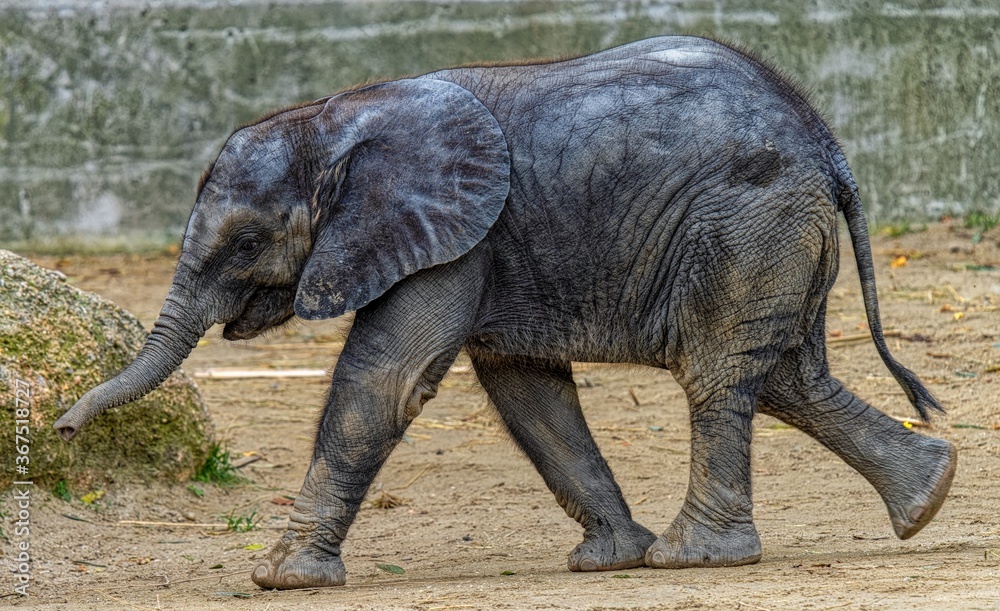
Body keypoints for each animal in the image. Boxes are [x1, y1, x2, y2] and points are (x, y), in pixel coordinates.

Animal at [55, 35, 956, 590]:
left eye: (246, 242)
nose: (61, 428)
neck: (335, 117)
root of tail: (827, 144)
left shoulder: (455, 238)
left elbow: (386, 382)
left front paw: (280, 576)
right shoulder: (486, 245)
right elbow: (527, 391)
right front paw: (606, 561)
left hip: (744, 224)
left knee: (720, 374)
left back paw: (695, 557)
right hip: (772, 236)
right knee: (785, 376)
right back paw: (927, 497)